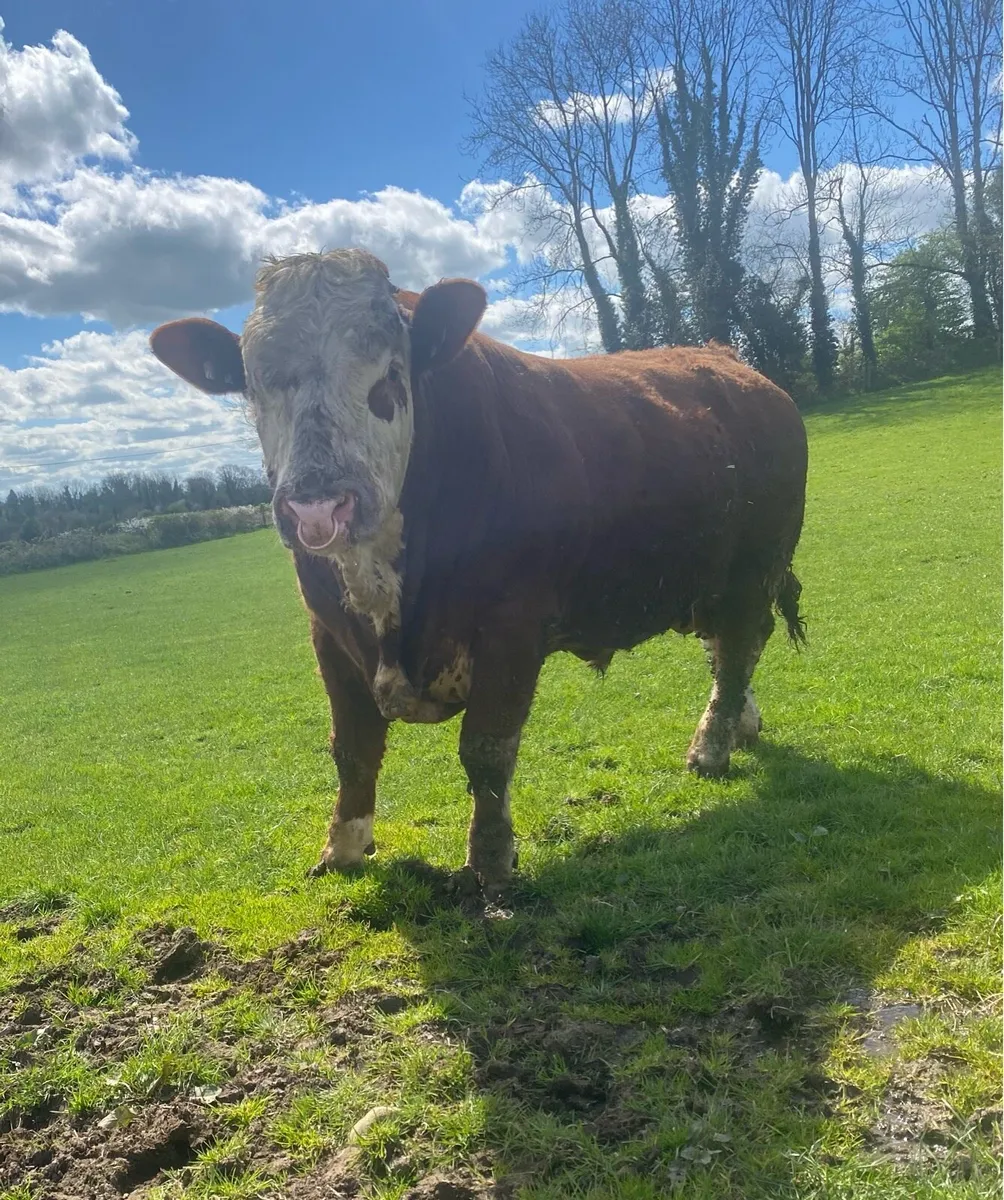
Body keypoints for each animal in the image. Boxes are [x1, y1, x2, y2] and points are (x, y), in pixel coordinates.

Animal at [150, 248, 808, 898]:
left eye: (392, 373)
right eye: (254, 384)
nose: (317, 505)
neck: (389, 600)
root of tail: (731, 362)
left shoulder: (512, 627)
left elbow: (488, 749)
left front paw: (490, 862)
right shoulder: (329, 632)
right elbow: (353, 749)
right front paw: (343, 849)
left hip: (756, 567)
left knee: (740, 647)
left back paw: (710, 750)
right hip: (711, 578)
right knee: (723, 649)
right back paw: (742, 726)